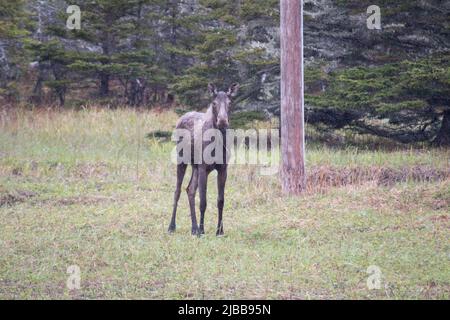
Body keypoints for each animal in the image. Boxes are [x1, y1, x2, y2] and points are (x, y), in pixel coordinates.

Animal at [169, 84, 239, 236]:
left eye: (230, 102)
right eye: (214, 103)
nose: (222, 121)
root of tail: (180, 119)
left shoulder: (223, 168)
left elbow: (220, 201)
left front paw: (219, 231)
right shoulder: (203, 167)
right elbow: (203, 202)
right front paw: (202, 229)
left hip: (195, 167)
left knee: (189, 190)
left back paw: (193, 228)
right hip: (182, 160)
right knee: (177, 191)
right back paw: (172, 226)